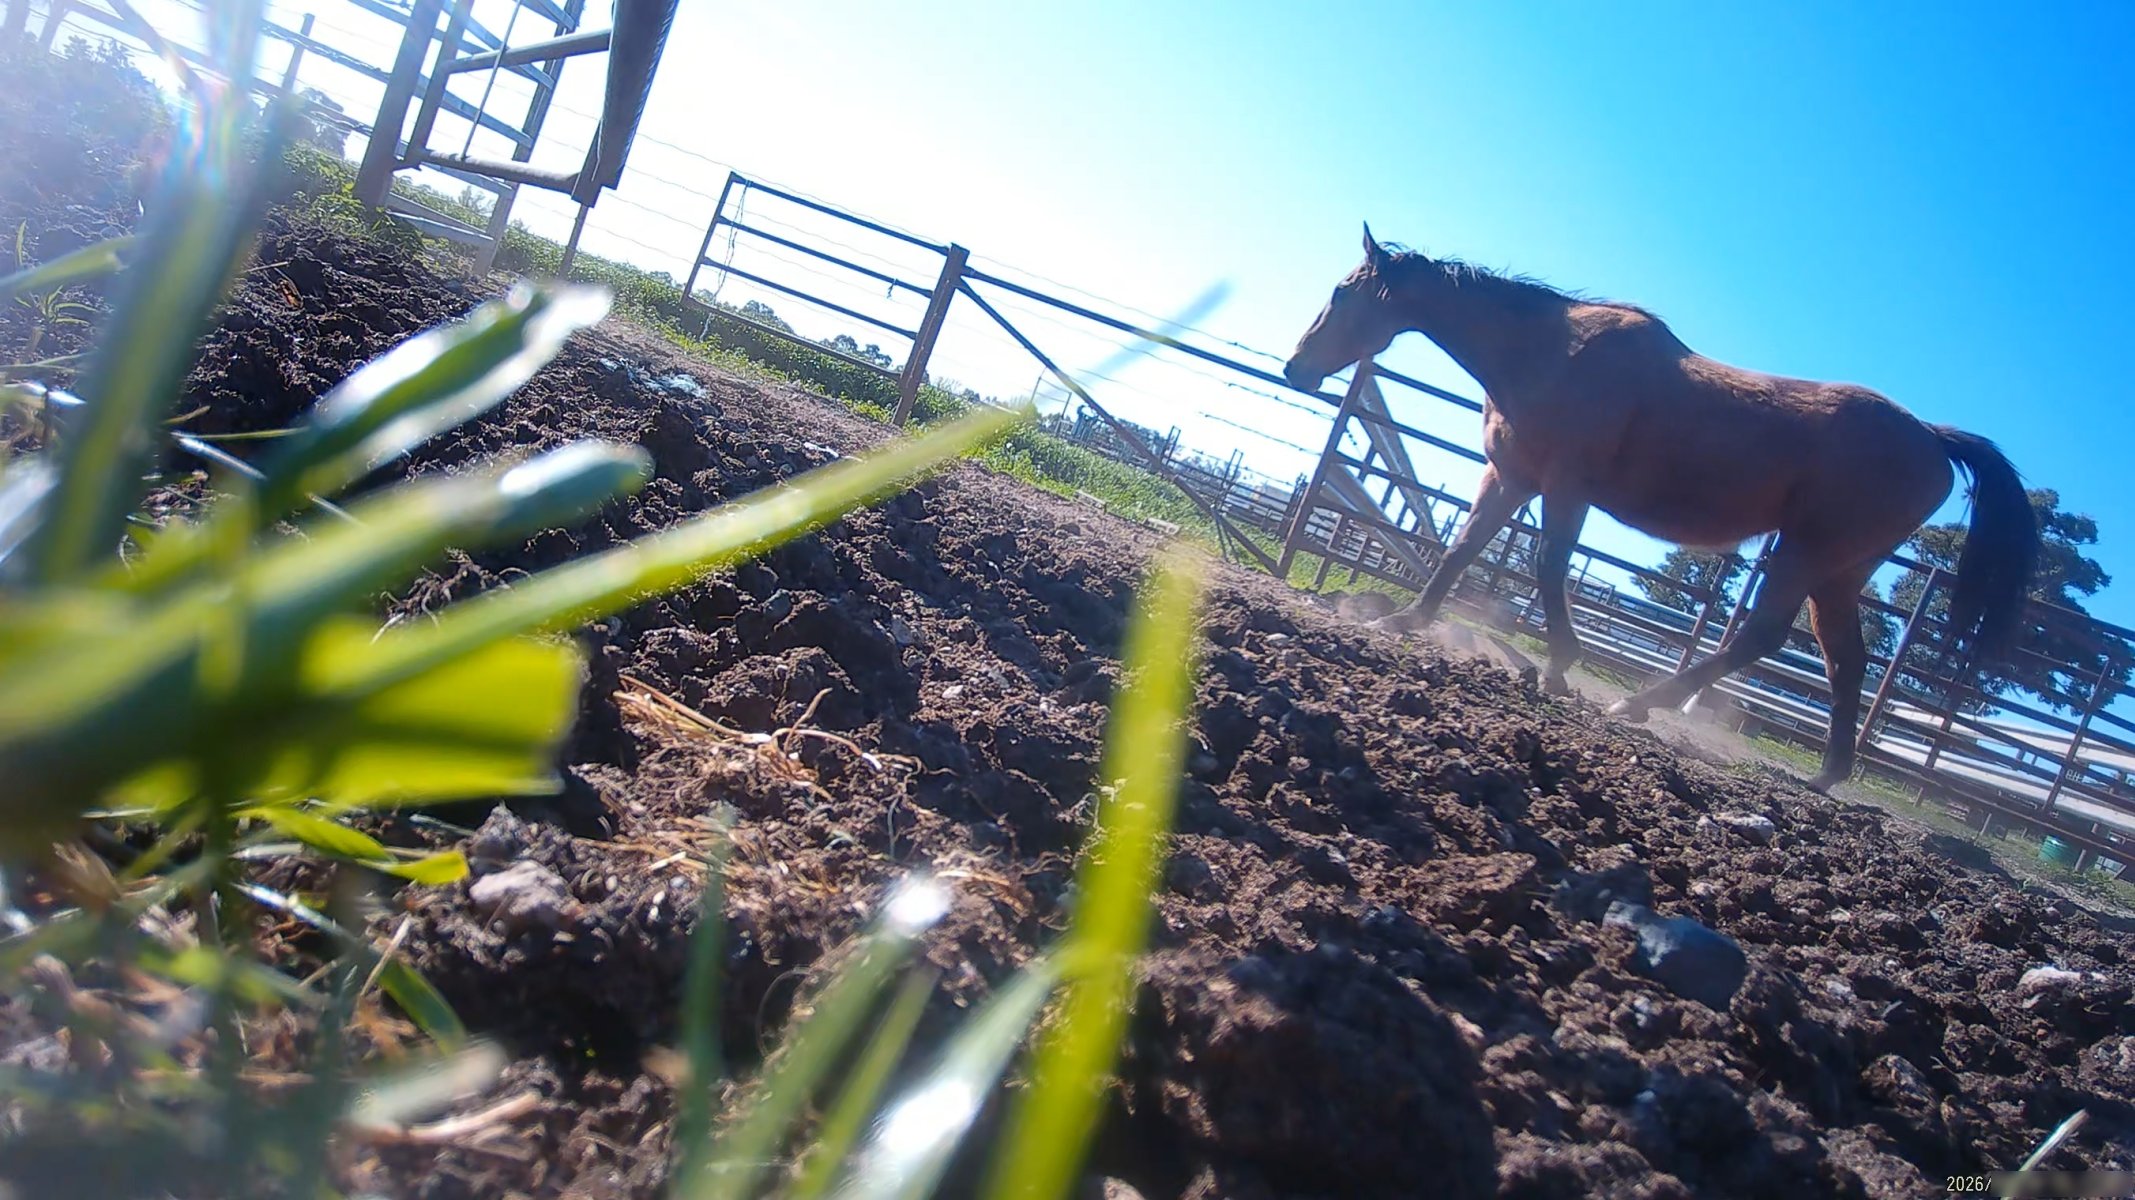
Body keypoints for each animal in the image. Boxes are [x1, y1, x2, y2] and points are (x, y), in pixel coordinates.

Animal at [1282, 226, 2039, 792]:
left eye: (1342, 293)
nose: (1296, 367)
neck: (1550, 352)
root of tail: (1932, 438)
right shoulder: (1510, 478)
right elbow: (1463, 549)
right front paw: (1404, 618)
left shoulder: (1565, 487)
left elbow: (1546, 563)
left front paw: (1559, 666)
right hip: (1838, 573)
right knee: (1844, 663)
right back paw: (1824, 775)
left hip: (1808, 551)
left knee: (1761, 637)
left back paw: (1642, 703)